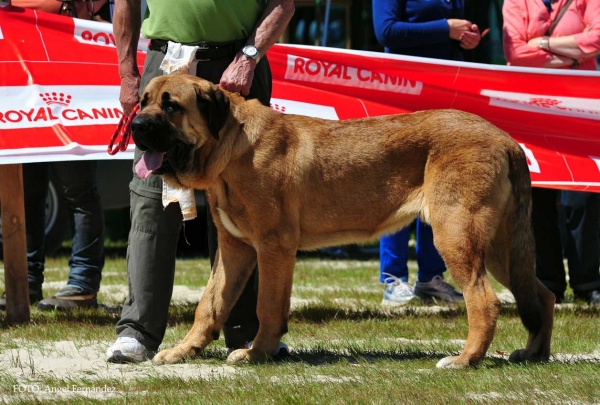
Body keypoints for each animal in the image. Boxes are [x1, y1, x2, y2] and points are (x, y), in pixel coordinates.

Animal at [129, 71, 556, 368]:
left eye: (171, 106)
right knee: (541, 294)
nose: (135, 126)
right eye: (144, 101)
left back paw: (465, 360)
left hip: (456, 236)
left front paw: (256, 354)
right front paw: (184, 350)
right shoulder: (234, 250)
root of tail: (508, 141)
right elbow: (210, 304)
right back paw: (533, 353)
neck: (230, 146)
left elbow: (267, 306)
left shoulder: (273, 246)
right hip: (500, 248)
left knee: (484, 300)